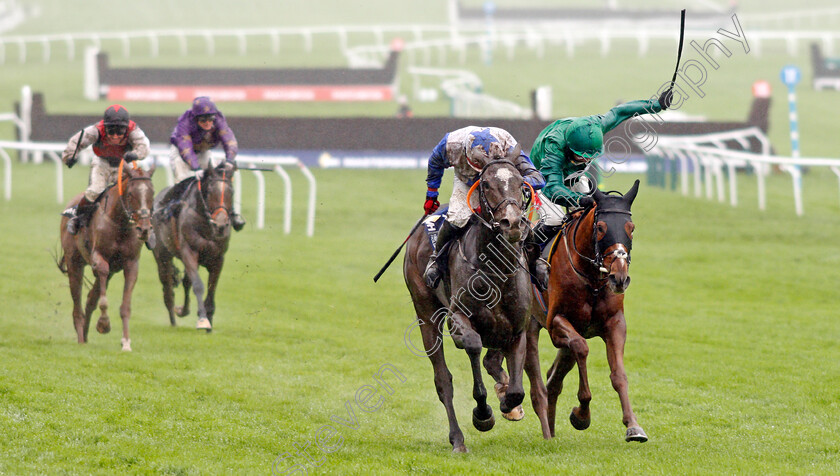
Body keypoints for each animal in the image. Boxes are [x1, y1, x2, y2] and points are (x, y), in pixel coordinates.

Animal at [58, 162, 155, 352]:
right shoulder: (99, 258)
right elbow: (102, 292)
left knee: (90, 299)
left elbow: (125, 306)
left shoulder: (131, 263)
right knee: (77, 304)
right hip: (74, 263)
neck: (120, 222)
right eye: (131, 194)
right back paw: (80, 338)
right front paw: (104, 323)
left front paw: (126, 342)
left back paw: (85, 334)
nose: (144, 229)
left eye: (152, 194)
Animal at [150, 160, 235, 330]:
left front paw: (209, 319)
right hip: (162, 256)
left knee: (185, 282)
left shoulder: (218, 258)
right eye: (210, 191)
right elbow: (198, 286)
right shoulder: (189, 251)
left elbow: (211, 289)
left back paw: (182, 310)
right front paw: (202, 319)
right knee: (168, 288)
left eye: (232, 192)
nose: (221, 225)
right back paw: (173, 320)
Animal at [406, 160, 536, 454]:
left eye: (520, 182)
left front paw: (508, 404)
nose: (513, 222)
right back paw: (457, 438)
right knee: (443, 380)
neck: (496, 269)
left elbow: (516, 390)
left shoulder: (517, 329)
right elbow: (474, 347)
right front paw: (483, 414)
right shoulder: (458, 319)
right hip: (426, 314)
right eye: (486, 184)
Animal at [524, 179, 644, 442]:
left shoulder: (615, 323)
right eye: (600, 227)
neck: (593, 279)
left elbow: (618, 374)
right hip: (529, 327)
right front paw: (582, 414)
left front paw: (633, 426)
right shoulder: (556, 322)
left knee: (553, 380)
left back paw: (551, 430)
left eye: (631, 227)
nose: (619, 278)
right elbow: (582, 347)